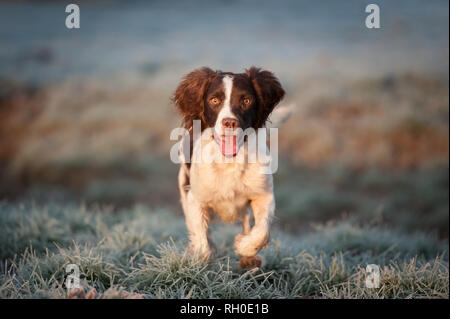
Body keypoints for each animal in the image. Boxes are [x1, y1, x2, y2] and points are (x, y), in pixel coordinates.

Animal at [172, 67, 284, 262]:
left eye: (246, 100)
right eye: (214, 100)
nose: (230, 122)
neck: (229, 161)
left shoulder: (264, 194)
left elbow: (262, 232)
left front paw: (245, 246)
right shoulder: (195, 198)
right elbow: (202, 243)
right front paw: (202, 256)